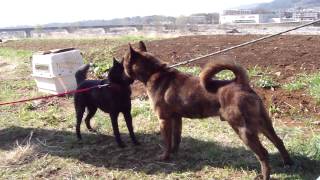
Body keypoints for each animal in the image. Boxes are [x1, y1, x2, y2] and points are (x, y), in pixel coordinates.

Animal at [124, 41, 294, 180]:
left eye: (123, 62)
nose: (119, 71)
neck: (154, 72)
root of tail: (240, 84)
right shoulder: (176, 118)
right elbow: (176, 139)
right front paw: (174, 152)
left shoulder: (164, 120)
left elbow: (166, 141)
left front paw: (165, 157)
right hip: (263, 123)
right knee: (278, 141)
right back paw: (288, 163)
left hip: (243, 130)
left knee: (263, 153)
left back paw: (265, 175)